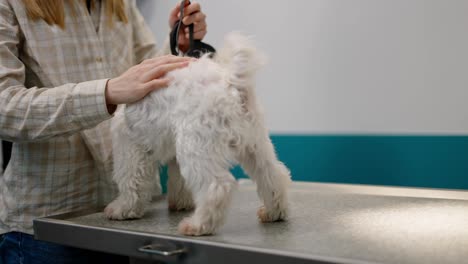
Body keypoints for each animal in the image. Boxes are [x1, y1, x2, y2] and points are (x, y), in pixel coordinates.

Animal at [104, 32, 290, 236]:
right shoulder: (171, 153)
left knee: (216, 186)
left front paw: (123, 209)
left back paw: (198, 225)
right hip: (255, 146)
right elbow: (178, 181)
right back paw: (274, 212)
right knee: (273, 175)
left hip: (196, 148)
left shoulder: (130, 149)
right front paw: (181, 202)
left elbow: (130, 181)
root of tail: (230, 82)